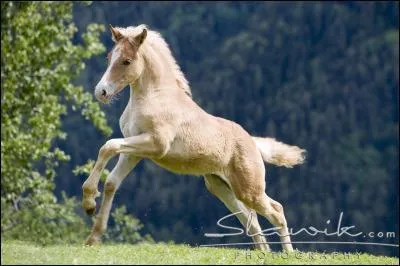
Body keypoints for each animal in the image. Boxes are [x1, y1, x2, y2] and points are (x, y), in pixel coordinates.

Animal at [82, 24, 306, 251]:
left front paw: (89, 202)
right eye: (109, 57)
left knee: (276, 211)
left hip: (249, 188)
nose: (101, 92)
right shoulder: (133, 152)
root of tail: (253, 142)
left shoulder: (156, 144)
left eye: (126, 61)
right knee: (251, 220)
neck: (155, 96)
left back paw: (288, 253)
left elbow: (108, 146)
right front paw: (93, 234)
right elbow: (111, 181)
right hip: (221, 187)